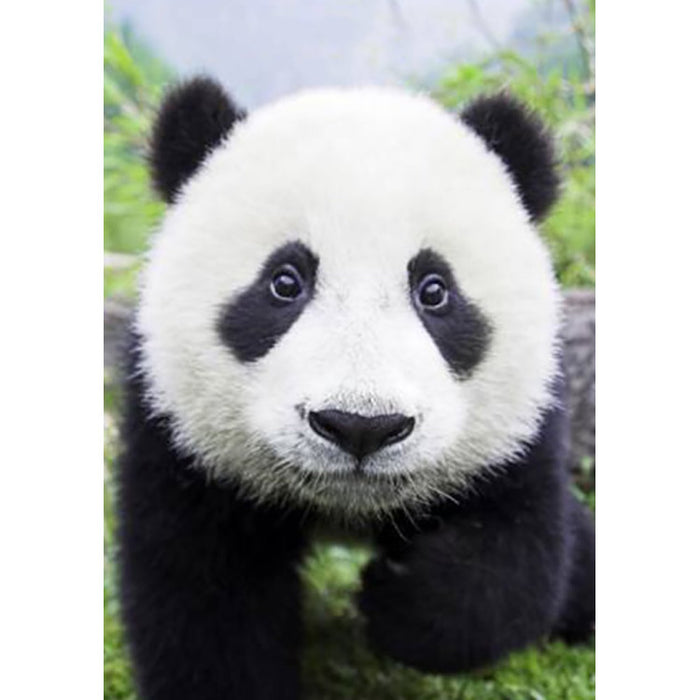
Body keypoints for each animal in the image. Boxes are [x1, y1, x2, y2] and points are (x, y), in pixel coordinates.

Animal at [117, 77, 595, 700]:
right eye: (285, 282)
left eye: (434, 289)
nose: (361, 426)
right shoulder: (177, 433)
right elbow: (203, 596)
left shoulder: (521, 428)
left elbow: (514, 560)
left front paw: (397, 597)